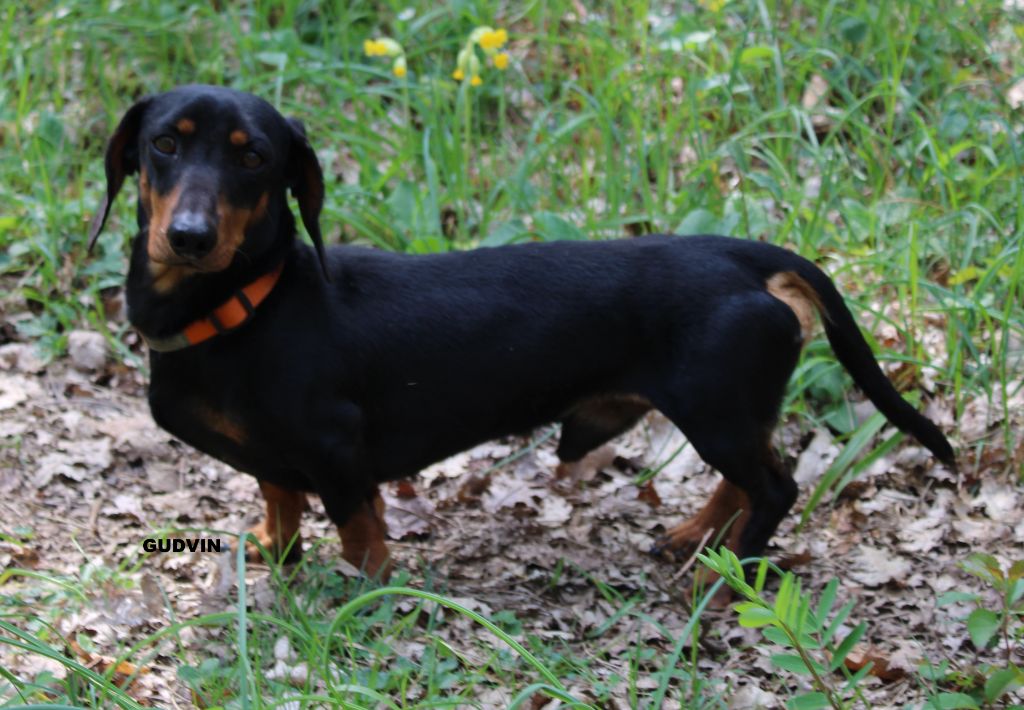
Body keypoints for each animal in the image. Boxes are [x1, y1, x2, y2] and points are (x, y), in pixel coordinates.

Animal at [88, 86, 950, 577]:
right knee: (745, 481)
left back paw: (723, 575)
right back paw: (691, 540)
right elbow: (279, 499)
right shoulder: (278, 457)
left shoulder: (336, 451)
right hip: (729, 416)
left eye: (255, 159)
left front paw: (362, 595)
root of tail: (747, 255)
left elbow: (360, 532)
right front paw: (274, 551)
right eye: (164, 143)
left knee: (774, 487)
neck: (248, 304)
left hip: (717, 413)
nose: (190, 238)